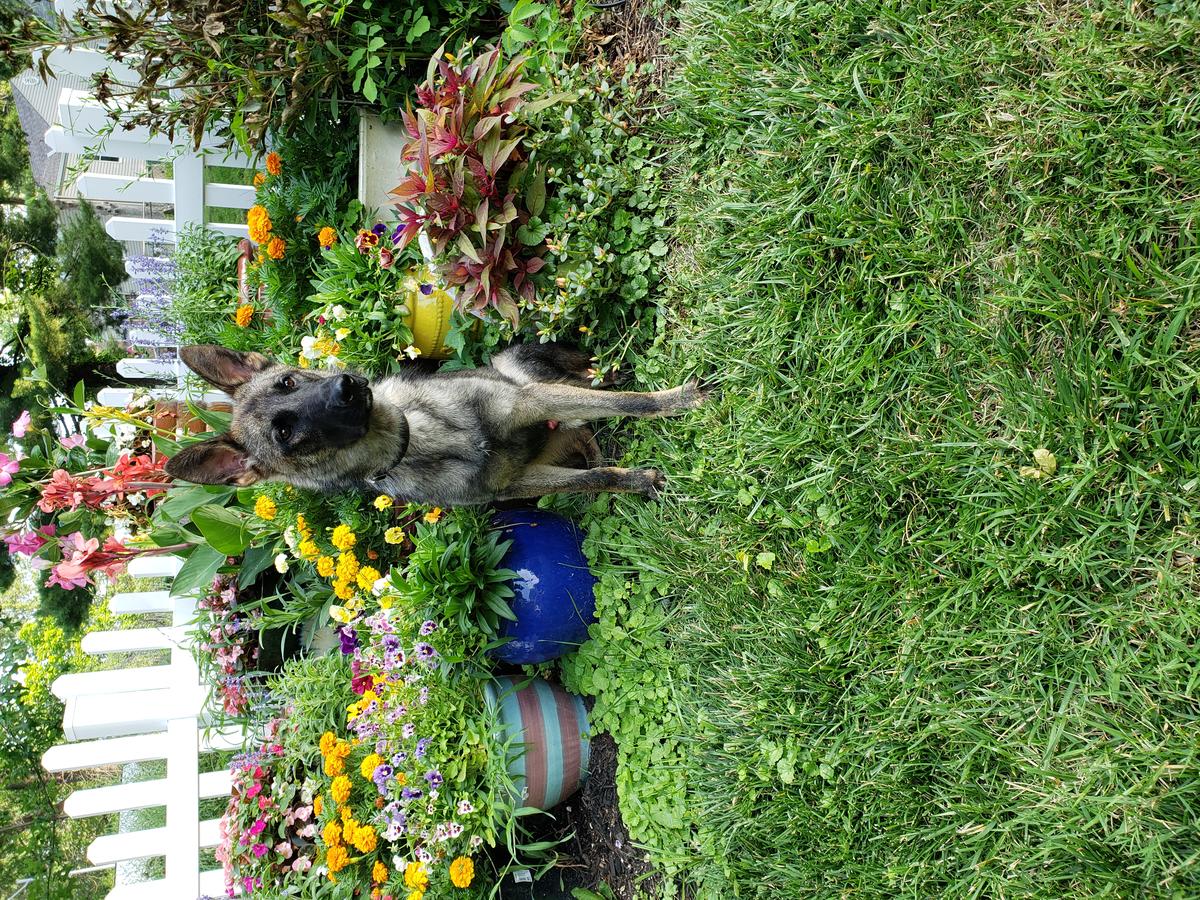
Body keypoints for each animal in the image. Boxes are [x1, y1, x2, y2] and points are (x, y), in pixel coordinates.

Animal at [164, 344, 706, 505]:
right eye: (284, 434)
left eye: (289, 381)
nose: (348, 387)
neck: (416, 438)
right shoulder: (518, 482)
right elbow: (596, 478)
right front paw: (636, 480)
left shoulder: (526, 401)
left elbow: (630, 403)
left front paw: (676, 400)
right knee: (584, 430)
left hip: (518, 368)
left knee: (586, 384)